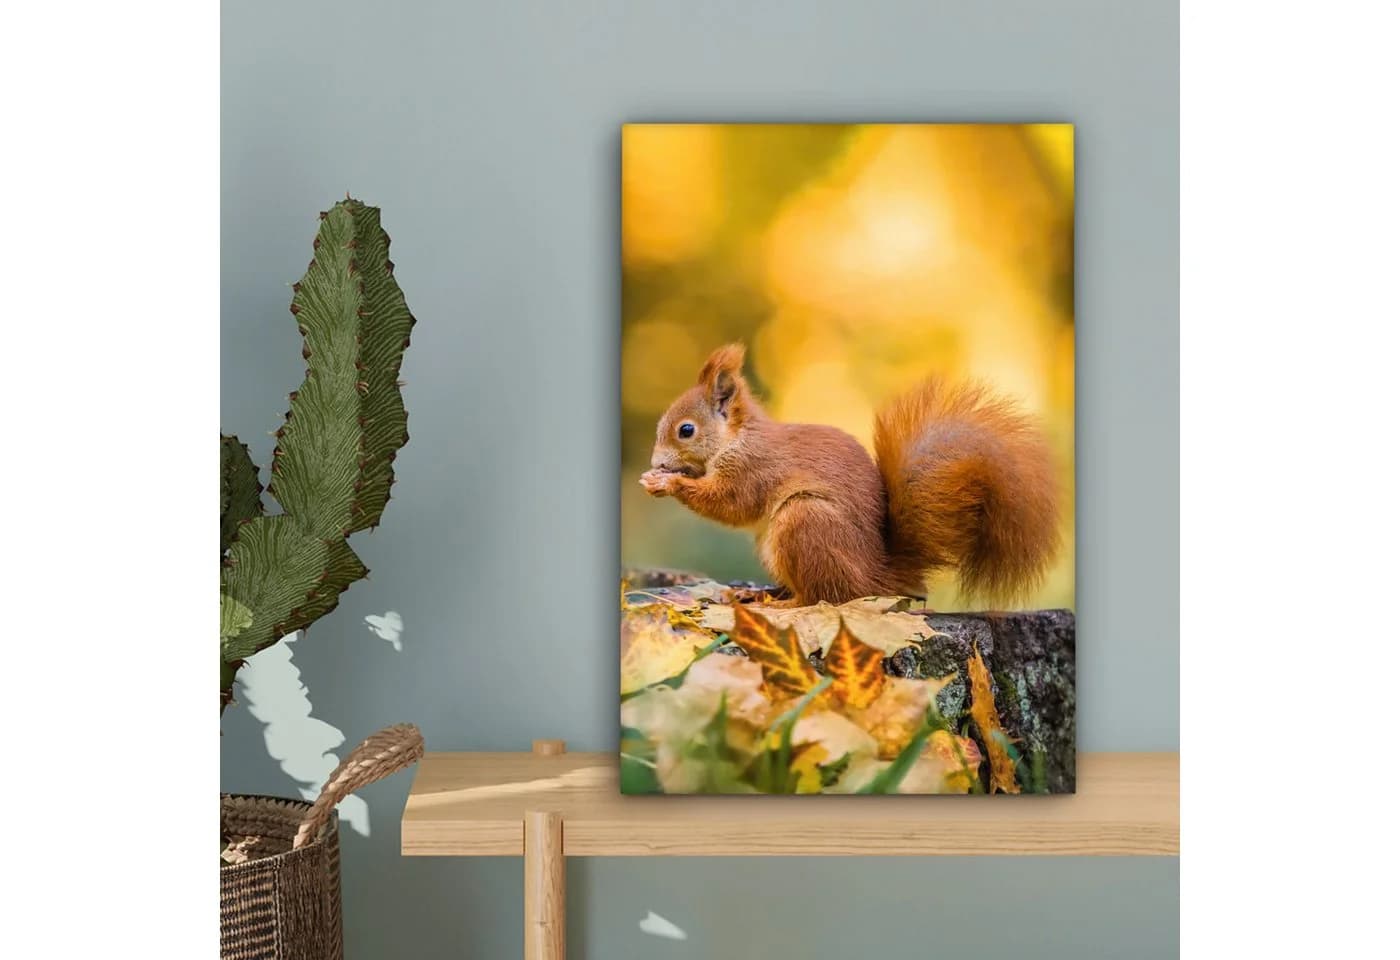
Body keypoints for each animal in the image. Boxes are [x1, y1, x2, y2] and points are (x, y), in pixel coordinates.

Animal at [639, 343, 1060, 607]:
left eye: (686, 430)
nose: (656, 462)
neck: (737, 438)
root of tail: (876, 578)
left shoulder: (752, 469)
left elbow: (730, 504)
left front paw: (667, 483)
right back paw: (757, 595)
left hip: (804, 522)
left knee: (823, 597)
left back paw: (781, 605)